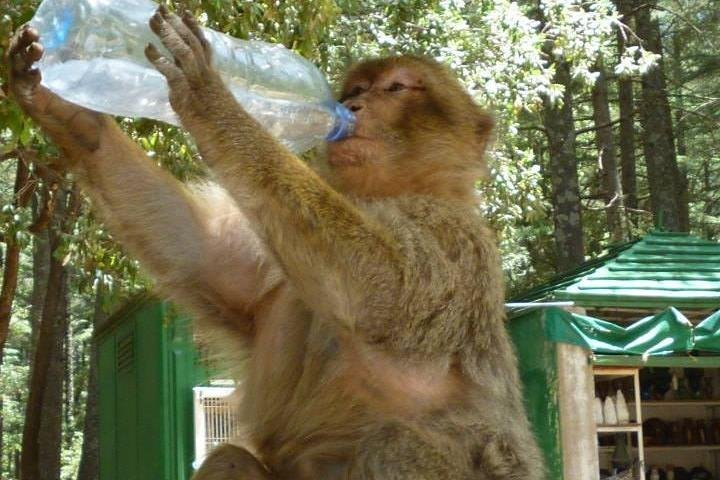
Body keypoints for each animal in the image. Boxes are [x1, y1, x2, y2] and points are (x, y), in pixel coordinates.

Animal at [7, 7, 544, 480]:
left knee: (399, 441)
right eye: (356, 90)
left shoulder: (455, 239)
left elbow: (382, 291)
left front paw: (211, 97)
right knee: (231, 459)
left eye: (396, 88)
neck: (386, 194)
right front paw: (74, 117)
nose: (352, 107)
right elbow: (199, 255)